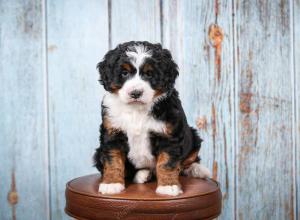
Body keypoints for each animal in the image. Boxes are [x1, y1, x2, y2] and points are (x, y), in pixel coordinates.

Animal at [92, 41, 210, 196]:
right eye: (124, 73)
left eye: (149, 74)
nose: (136, 93)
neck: (136, 110)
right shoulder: (112, 133)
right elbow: (113, 160)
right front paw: (111, 183)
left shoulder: (169, 135)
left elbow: (167, 163)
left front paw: (168, 186)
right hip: (98, 153)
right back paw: (143, 174)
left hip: (193, 136)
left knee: (189, 160)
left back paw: (198, 170)